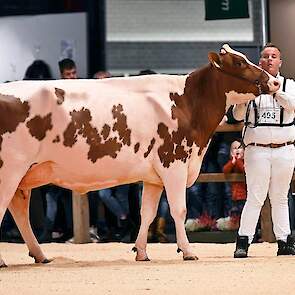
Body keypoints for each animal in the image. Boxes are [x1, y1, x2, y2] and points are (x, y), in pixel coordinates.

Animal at [0, 44, 280, 268]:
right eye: (239, 62)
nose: (275, 82)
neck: (188, 102)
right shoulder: (174, 164)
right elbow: (179, 209)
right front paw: (187, 251)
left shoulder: (153, 176)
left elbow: (148, 212)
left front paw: (142, 252)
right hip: (11, 170)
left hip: (23, 176)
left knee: (19, 213)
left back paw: (40, 255)